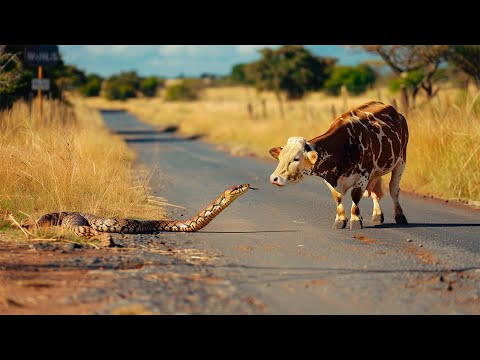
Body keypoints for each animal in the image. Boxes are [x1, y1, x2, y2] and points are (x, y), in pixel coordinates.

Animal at [270, 100, 408, 231]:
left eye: (296, 158)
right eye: (280, 158)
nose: (274, 178)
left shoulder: (362, 176)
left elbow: (355, 196)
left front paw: (355, 220)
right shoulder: (331, 180)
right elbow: (338, 198)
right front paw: (340, 220)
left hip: (401, 161)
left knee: (393, 189)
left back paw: (400, 215)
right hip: (376, 171)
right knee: (375, 191)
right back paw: (377, 215)